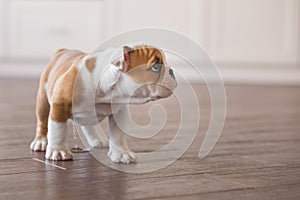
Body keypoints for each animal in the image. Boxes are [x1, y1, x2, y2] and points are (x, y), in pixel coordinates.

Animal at [29, 43, 177, 162]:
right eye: (156, 67)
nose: (171, 70)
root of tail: (62, 51)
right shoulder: (59, 106)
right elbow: (58, 131)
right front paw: (58, 151)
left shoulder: (119, 112)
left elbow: (118, 135)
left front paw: (122, 154)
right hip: (43, 100)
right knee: (42, 122)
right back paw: (40, 142)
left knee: (88, 125)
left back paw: (97, 140)